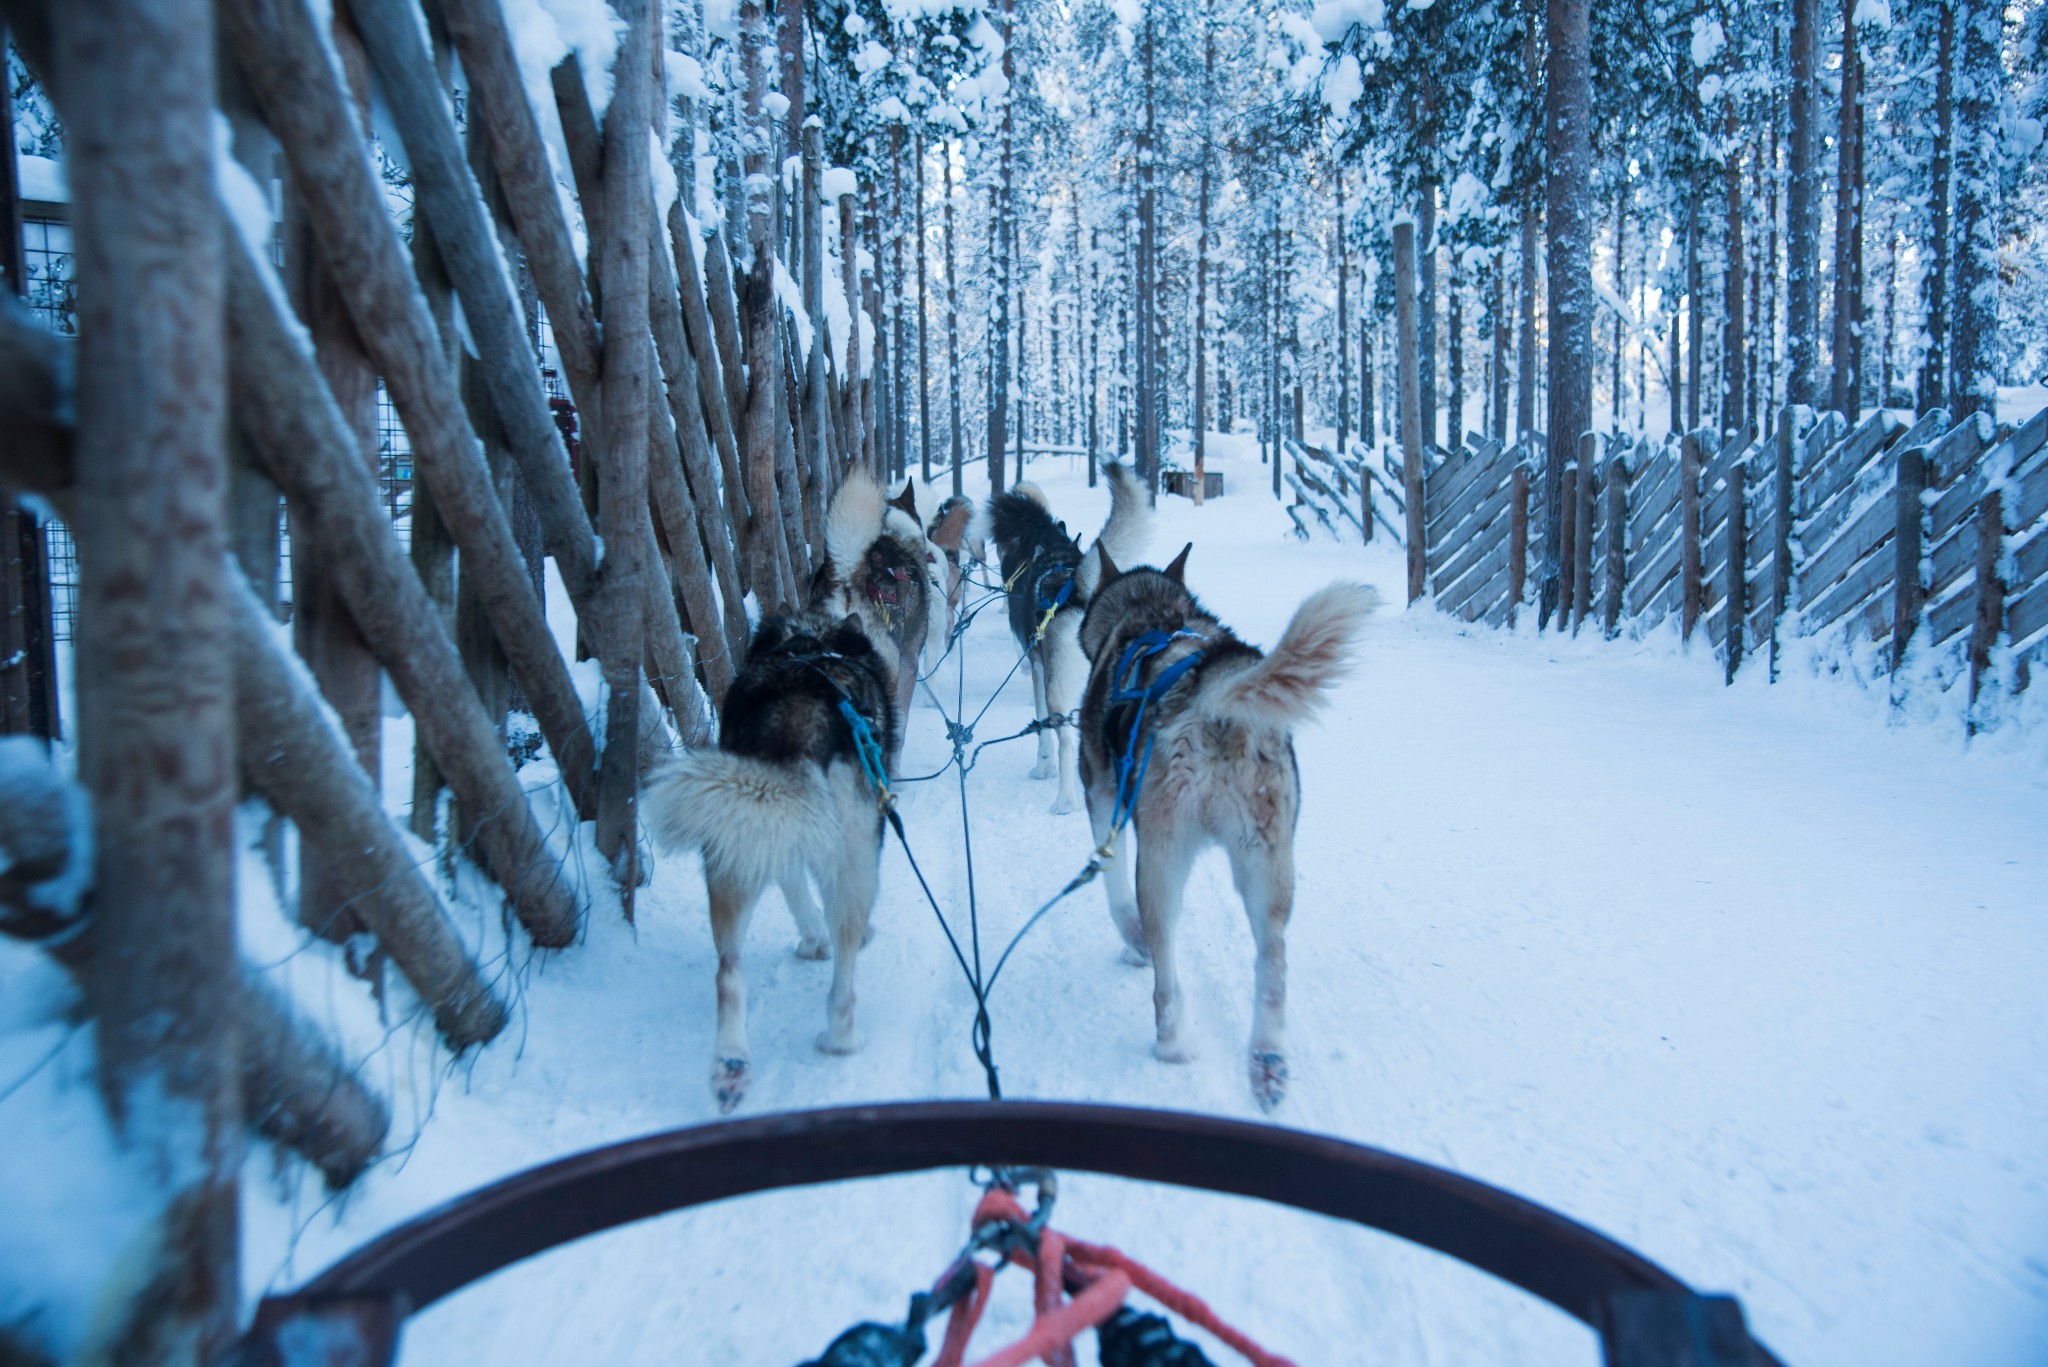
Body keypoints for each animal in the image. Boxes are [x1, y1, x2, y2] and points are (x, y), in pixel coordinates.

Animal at [643, 610, 892, 1114]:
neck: (810, 642)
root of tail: (798, 716)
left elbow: (795, 890)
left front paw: (812, 941)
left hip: (733, 846)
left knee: (728, 972)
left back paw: (731, 1066)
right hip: (856, 860)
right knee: (844, 973)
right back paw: (841, 1038)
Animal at [987, 467, 1155, 811]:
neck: (1055, 557)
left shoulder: (1039, 668)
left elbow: (1042, 729)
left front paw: (1043, 766)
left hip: (1061, 692)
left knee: (1064, 738)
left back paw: (1065, 800)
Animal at [1073, 549, 1376, 1114]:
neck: (1149, 614)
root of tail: (1211, 692)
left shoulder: (1102, 795)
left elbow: (1114, 891)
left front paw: (1131, 943)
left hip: (1162, 859)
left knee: (1166, 969)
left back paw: (1172, 1042)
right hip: (1269, 866)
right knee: (1273, 961)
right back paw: (1267, 1062)